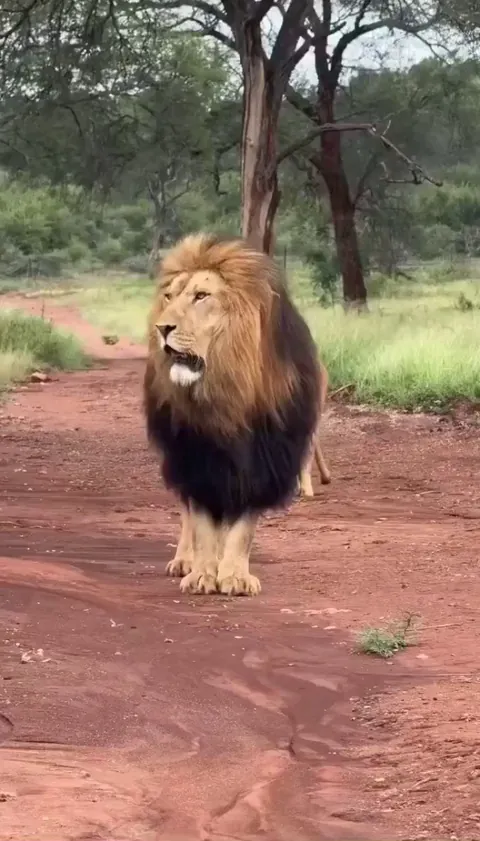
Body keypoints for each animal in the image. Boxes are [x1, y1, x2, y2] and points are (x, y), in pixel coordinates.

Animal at [143, 233, 321, 596]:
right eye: (169, 296)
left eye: (201, 296)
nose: (161, 327)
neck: (227, 394)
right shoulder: (196, 458)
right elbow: (200, 522)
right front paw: (201, 575)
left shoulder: (263, 461)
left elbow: (243, 528)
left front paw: (235, 576)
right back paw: (185, 560)